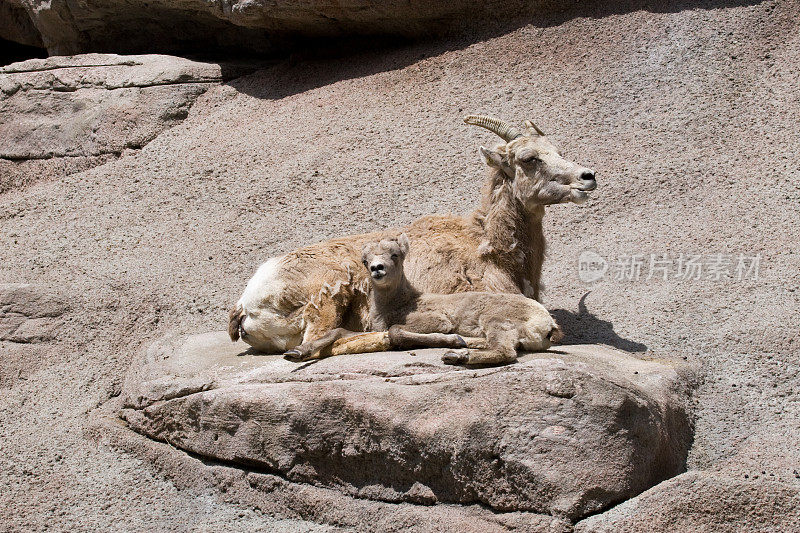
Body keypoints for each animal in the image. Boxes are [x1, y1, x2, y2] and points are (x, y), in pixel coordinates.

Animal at [282, 235, 564, 364]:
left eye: (395, 255)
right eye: (365, 260)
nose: (377, 268)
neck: (400, 303)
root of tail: (548, 324)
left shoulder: (436, 320)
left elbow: (396, 332)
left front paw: (451, 339)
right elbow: (338, 331)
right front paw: (295, 353)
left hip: (496, 321)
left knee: (506, 352)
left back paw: (458, 355)